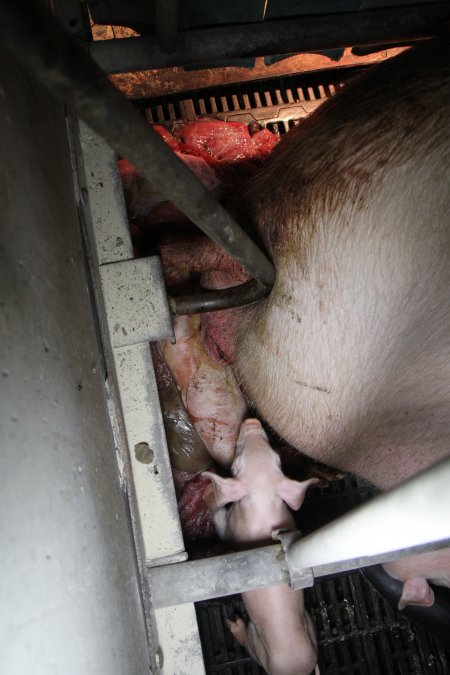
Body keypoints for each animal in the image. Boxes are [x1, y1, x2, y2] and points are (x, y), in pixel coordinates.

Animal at [202, 418, 318, 675]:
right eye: (277, 457)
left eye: (237, 464)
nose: (252, 420)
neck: (263, 506)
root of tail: (299, 668)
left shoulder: (232, 527)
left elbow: (221, 524)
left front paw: (207, 491)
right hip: (309, 625)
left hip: (256, 644)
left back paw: (233, 623)